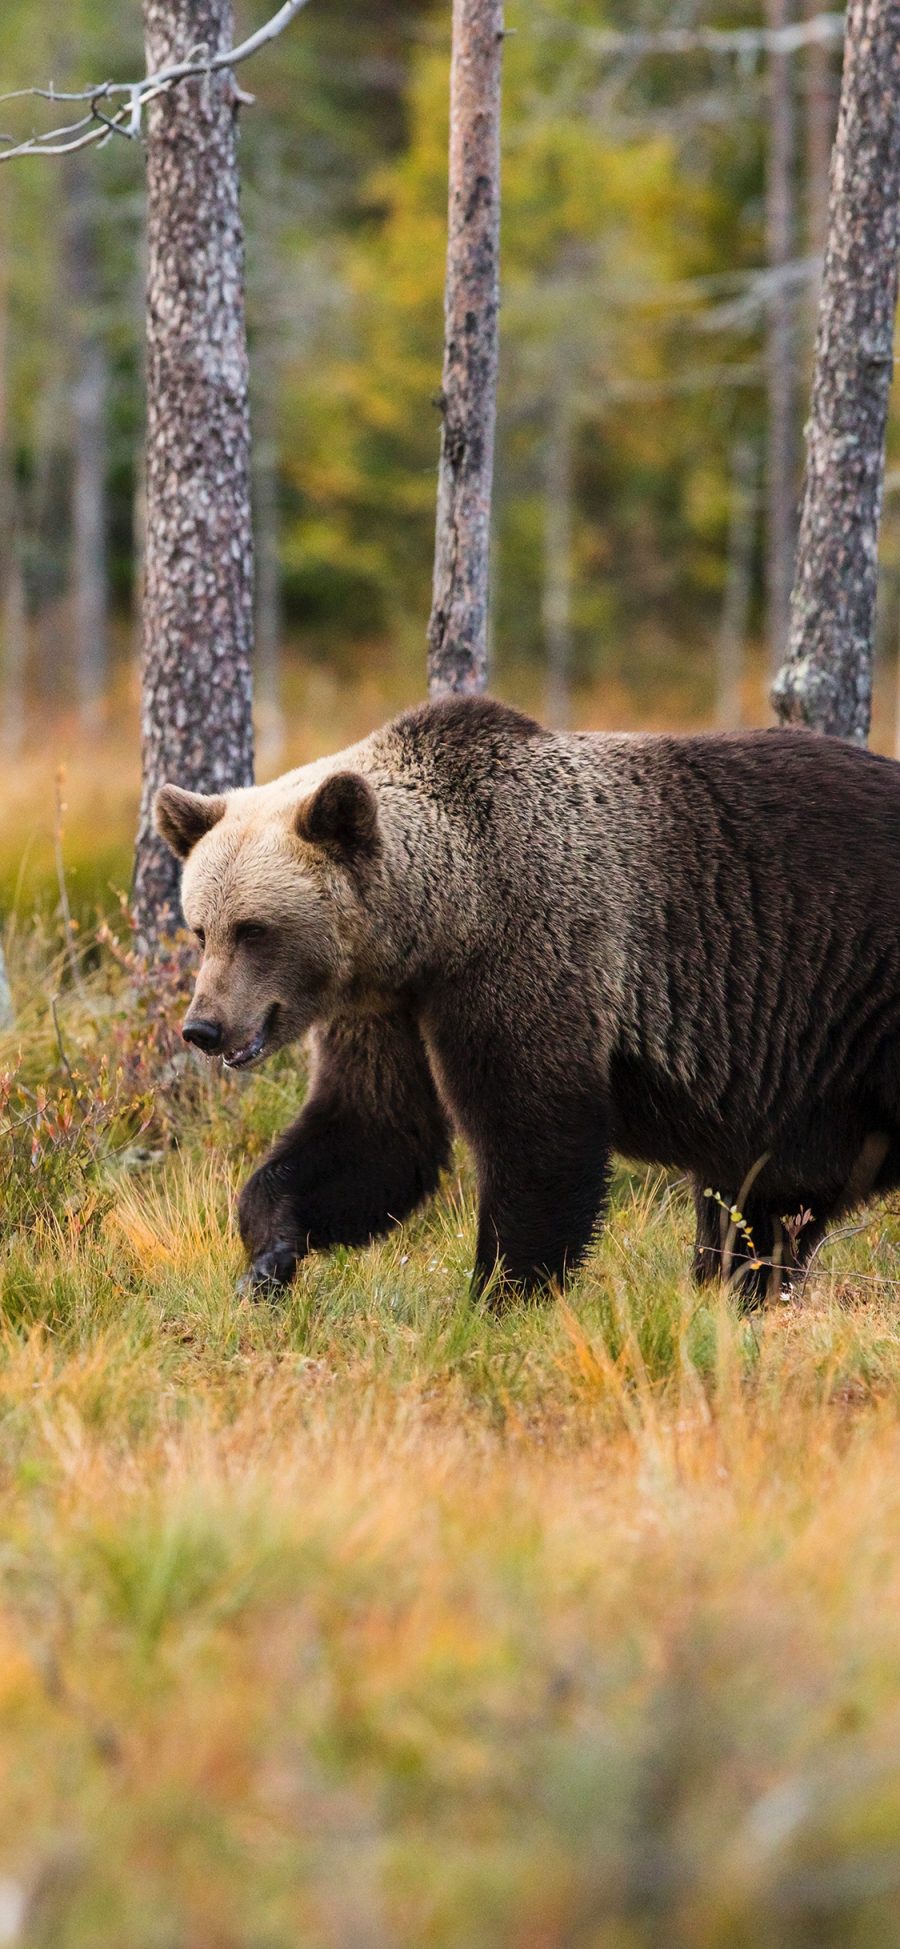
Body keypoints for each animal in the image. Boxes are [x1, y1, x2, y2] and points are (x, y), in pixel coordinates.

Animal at [156, 693, 900, 1301]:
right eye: (201, 927)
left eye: (255, 929)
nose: (203, 1027)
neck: (443, 921)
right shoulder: (387, 1009)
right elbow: (375, 1131)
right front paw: (269, 1255)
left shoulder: (528, 953)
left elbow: (538, 1135)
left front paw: (500, 1292)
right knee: (766, 1199)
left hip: (854, 998)